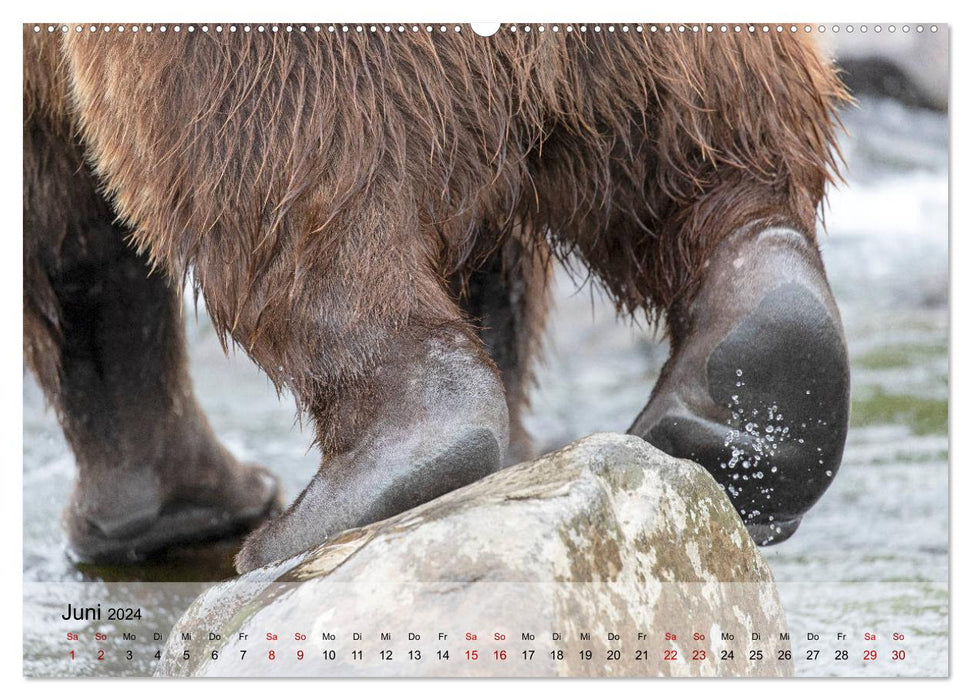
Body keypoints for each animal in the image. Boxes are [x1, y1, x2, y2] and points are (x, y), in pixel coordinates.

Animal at [19, 26, 848, 576]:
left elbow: (72, 234)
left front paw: (162, 509)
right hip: (637, 74)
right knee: (708, 136)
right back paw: (752, 388)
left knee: (281, 176)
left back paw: (348, 491)